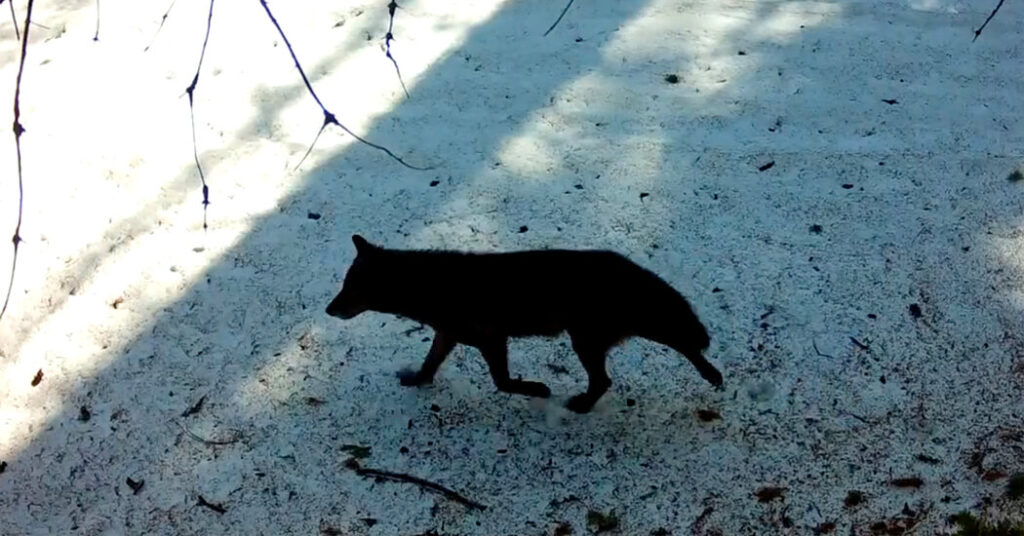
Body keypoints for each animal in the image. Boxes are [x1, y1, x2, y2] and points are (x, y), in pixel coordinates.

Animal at [326, 235, 722, 413]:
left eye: (348, 288)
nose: (328, 310)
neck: (433, 287)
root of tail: (630, 268)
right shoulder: (448, 335)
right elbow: (429, 365)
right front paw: (415, 381)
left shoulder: (492, 339)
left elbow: (503, 383)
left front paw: (538, 390)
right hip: (598, 337)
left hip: (590, 339)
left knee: (625, 371)